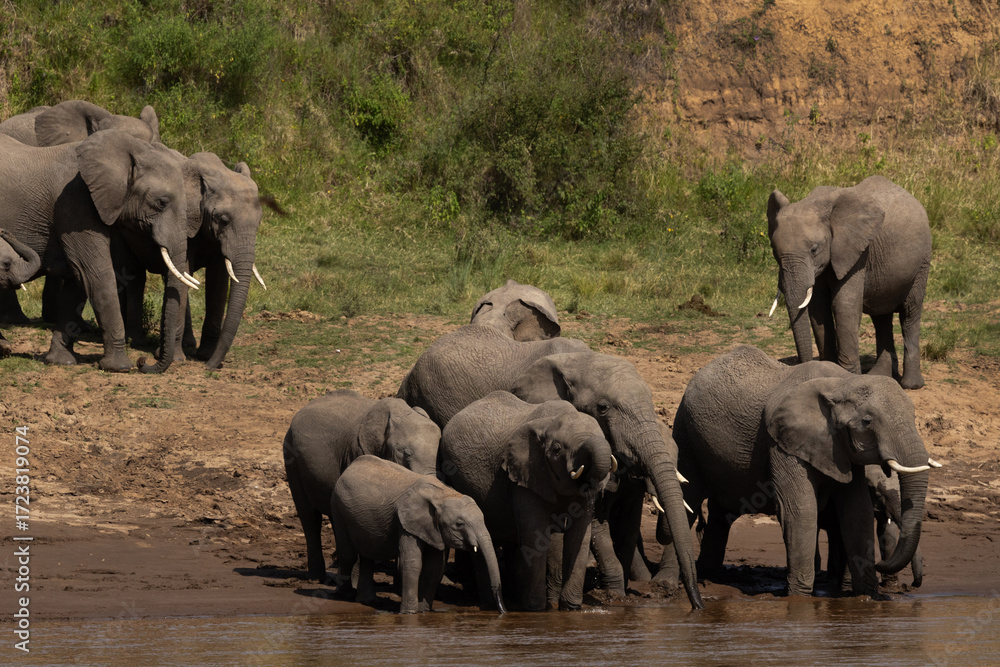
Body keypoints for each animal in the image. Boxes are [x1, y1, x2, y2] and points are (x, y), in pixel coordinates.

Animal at [331, 455, 505, 614]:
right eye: (459, 524)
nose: (502, 611)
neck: (443, 494)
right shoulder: (405, 522)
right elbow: (412, 562)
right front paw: (409, 613)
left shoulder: (433, 529)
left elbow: (434, 566)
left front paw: (424, 612)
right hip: (338, 508)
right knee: (348, 554)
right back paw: (345, 595)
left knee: (368, 554)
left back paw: (368, 600)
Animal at [440, 391, 613, 610]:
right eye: (557, 450)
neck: (549, 422)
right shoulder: (523, 475)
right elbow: (535, 534)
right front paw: (535, 610)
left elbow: (579, 536)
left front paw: (570, 609)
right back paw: (492, 604)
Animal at [671, 345, 934, 597]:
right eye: (867, 422)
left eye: (913, 415)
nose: (911, 585)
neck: (842, 383)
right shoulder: (781, 441)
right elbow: (800, 510)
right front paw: (799, 598)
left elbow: (857, 511)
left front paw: (867, 598)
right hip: (685, 430)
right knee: (690, 501)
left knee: (720, 515)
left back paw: (709, 574)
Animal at [767, 175, 932, 389]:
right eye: (774, 251)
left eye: (814, 249)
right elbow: (818, 310)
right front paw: (827, 372)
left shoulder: (857, 252)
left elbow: (844, 306)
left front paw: (847, 378)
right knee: (881, 317)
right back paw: (880, 375)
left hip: (922, 263)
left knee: (910, 312)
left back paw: (910, 385)